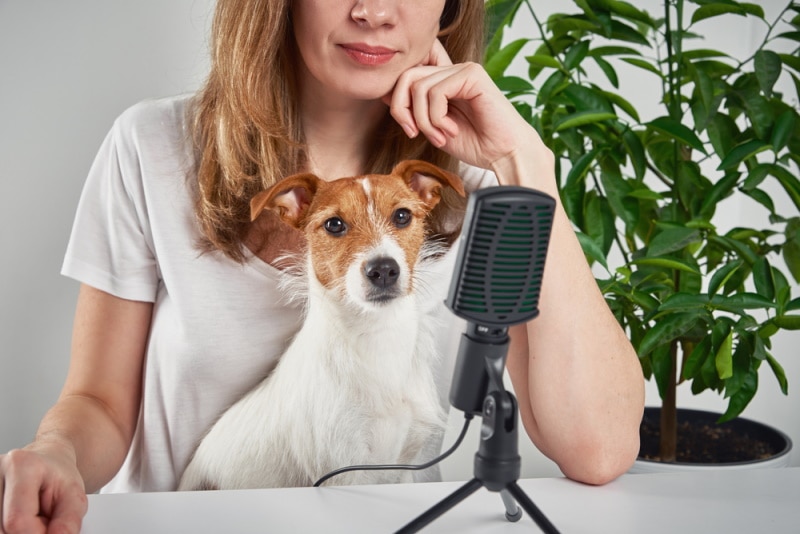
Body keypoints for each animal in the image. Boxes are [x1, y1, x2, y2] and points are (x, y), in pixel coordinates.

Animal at [178, 159, 466, 490]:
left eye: (402, 215)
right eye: (334, 225)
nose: (383, 270)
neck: (376, 340)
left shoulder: (405, 465)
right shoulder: (342, 470)